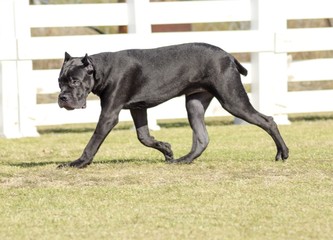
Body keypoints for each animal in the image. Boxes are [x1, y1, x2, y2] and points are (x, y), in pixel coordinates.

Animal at [57, 42, 288, 168]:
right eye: (60, 81)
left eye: (74, 81)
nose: (62, 98)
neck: (101, 70)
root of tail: (229, 56)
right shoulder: (138, 108)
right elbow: (144, 137)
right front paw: (166, 150)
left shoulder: (109, 114)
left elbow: (93, 141)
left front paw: (78, 162)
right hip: (194, 103)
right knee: (202, 138)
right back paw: (184, 160)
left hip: (232, 100)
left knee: (268, 120)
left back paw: (283, 153)